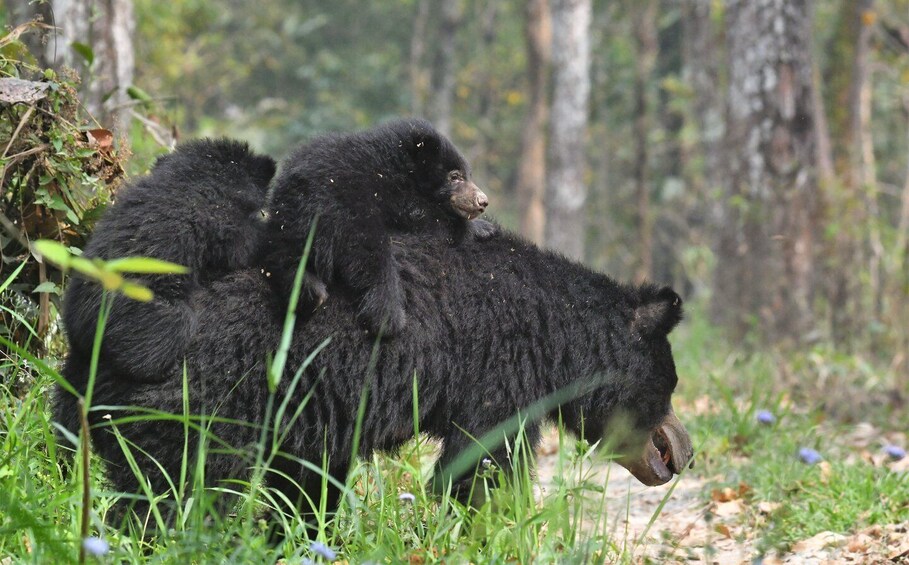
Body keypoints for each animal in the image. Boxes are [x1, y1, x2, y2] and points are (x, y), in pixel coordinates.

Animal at [54, 226, 694, 529]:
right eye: (669, 387)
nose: (683, 453)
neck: (553, 340)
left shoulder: (313, 412)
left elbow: (307, 485)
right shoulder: (499, 373)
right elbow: (482, 467)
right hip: (200, 400)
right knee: (171, 489)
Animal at [265, 118, 496, 336]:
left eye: (468, 175)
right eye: (455, 176)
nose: (482, 201)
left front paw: (484, 227)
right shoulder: (394, 192)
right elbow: (430, 221)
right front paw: (479, 227)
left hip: (293, 225)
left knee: (284, 255)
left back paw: (309, 291)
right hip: (347, 209)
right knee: (372, 254)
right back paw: (387, 316)